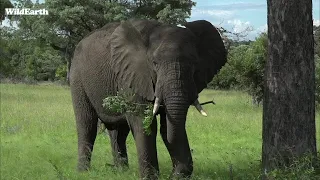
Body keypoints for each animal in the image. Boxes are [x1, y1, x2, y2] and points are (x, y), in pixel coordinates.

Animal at [69, 18, 226, 179]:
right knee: (87, 124)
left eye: (194, 63)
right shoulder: (132, 74)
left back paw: (121, 171)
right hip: (77, 77)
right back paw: (83, 172)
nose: (173, 174)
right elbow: (143, 122)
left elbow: (167, 124)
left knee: (118, 131)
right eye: (155, 63)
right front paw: (150, 178)